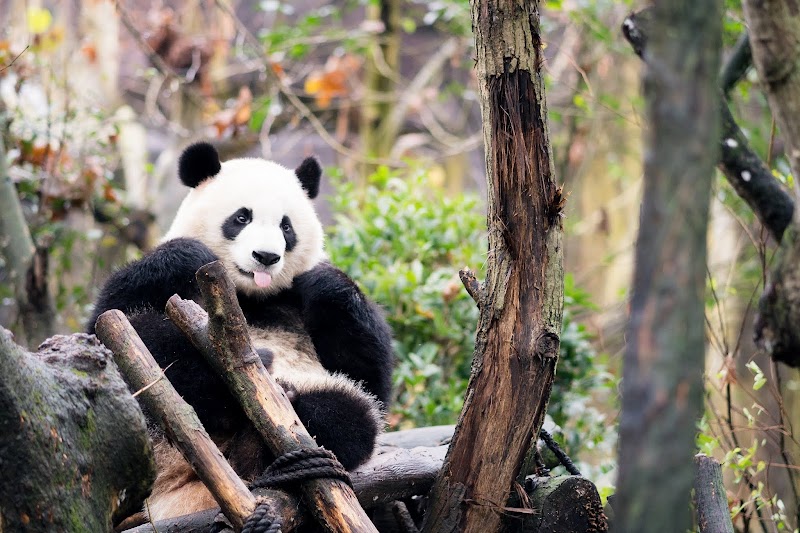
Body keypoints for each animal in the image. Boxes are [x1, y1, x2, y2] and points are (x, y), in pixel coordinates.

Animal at [87, 142, 394, 523]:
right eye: (241, 218)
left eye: (286, 226)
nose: (266, 256)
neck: (247, 296)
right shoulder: (160, 290)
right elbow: (104, 323)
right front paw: (189, 253)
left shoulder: (294, 302)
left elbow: (370, 377)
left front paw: (325, 281)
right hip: (153, 444)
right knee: (149, 341)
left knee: (350, 414)